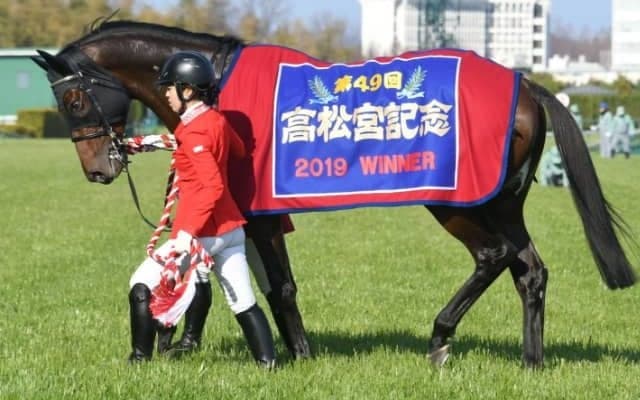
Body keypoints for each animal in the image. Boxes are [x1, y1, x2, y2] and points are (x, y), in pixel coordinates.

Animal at [32, 20, 636, 368]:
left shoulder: (259, 213)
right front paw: (178, 340)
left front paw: (297, 352)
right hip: (503, 202)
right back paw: (531, 360)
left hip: (457, 201)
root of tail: (527, 84)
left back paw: (440, 338)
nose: (99, 170)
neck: (218, 85)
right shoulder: (239, 208)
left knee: (494, 256)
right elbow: (210, 275)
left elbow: (278, 286)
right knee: (529, 268)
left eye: (75, 102)